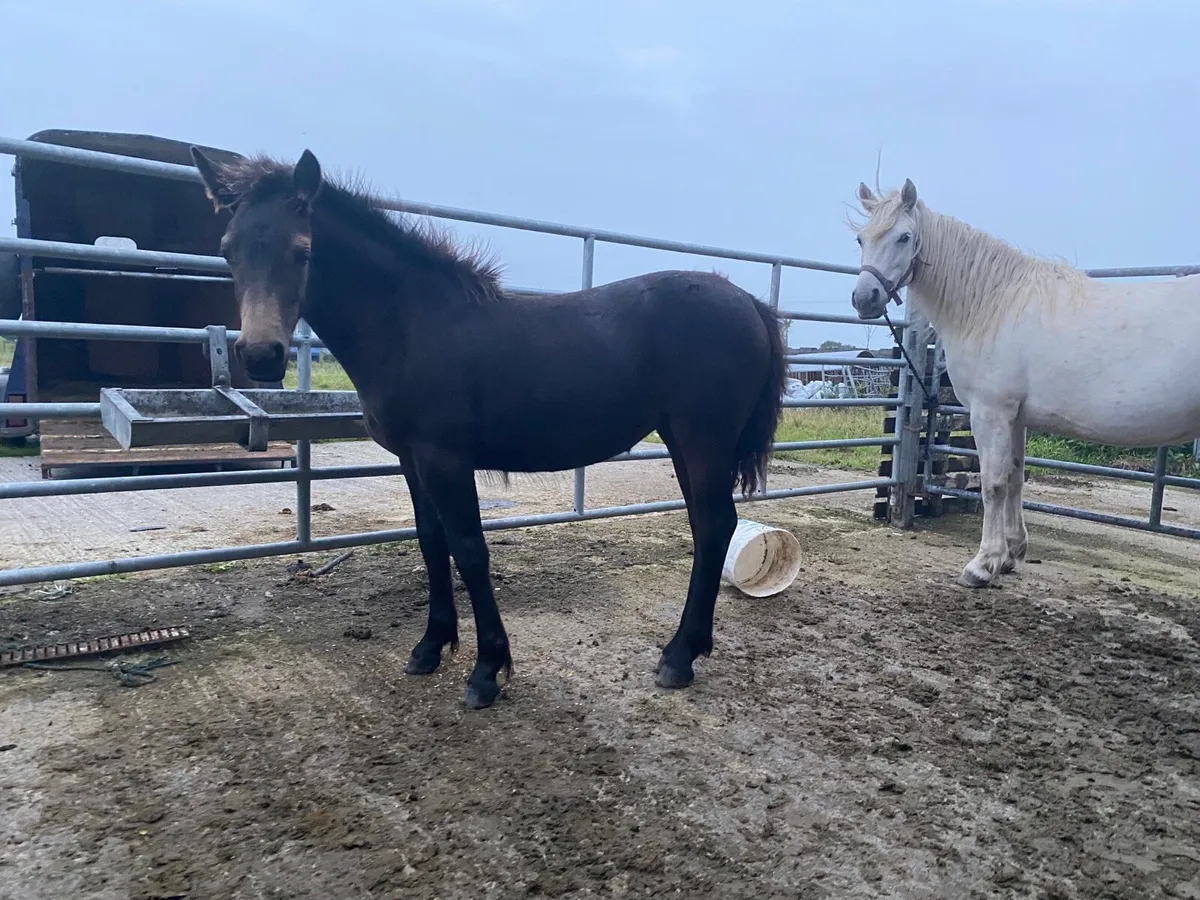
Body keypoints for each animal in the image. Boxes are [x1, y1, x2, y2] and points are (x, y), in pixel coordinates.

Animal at [189, 146, 786, 709]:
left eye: (303, 250)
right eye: (228, 249)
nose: (261, 355)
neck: (410, 327)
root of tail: (749, 304)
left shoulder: (447, 460)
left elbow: (471, 551)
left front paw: (486, 672)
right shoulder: (412, 461)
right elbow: (431, 544)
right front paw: (430, 647)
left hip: (702, 440)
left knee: (714, 526)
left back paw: (679, 658)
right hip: (685, 443)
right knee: (711, 526)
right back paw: (685, 649)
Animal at [849, 178, 1200, 588]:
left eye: (904, 237)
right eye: (861, 238)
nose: (865, 298)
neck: (994, 305)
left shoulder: (991, 412)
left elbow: (993, 484)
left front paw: (982, 565)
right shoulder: (1016, 416)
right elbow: (1015, 478)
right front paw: (1011, 554)